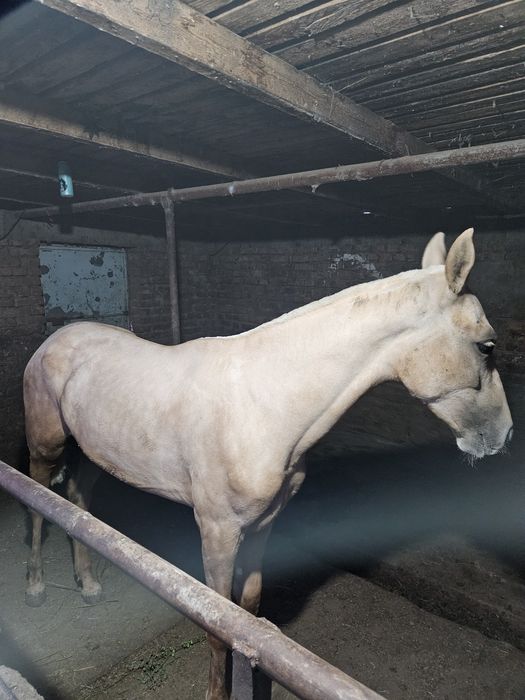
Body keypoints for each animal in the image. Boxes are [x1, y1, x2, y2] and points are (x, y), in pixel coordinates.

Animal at [23, 228, 512, 699]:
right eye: (486, 346)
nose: (504, 434)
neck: (263, 404)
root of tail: (54, 339)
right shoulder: (217, 532)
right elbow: (218, 626)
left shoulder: (263, 525)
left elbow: (249, 610)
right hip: (45, 448)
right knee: (38, 503)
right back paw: (36, 588)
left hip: (90, 452)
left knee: (76, 505)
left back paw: (88, 585)